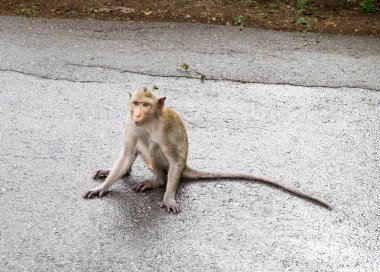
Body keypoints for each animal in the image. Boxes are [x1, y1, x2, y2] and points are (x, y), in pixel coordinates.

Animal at [81, 87, 332, 212]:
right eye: (136, 103)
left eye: (146, 104)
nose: (138, 113)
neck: (149, 122)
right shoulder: (130, 124)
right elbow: (126, 153)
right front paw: (103, 187)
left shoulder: (163, 132)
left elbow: (175, 158)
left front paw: (169, 197)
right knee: (139, 146)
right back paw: (125, 173)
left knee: (157, 152)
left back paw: (158, 182)